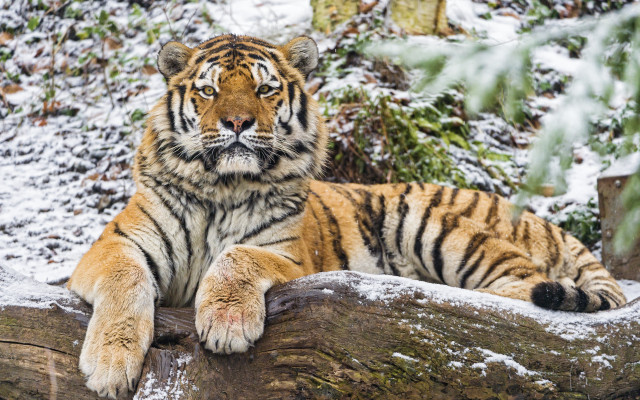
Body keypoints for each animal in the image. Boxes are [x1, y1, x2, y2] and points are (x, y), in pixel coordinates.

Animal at [67, 34, 627, 398]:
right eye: (209, 90)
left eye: (265, 89)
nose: (237, 122)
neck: (225, 187)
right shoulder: (116, 244)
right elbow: (125, 280)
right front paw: (110, 364)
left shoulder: (288, 255)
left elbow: (236, 256)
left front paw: (226, 323)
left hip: (436, 225)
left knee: (518, 295)